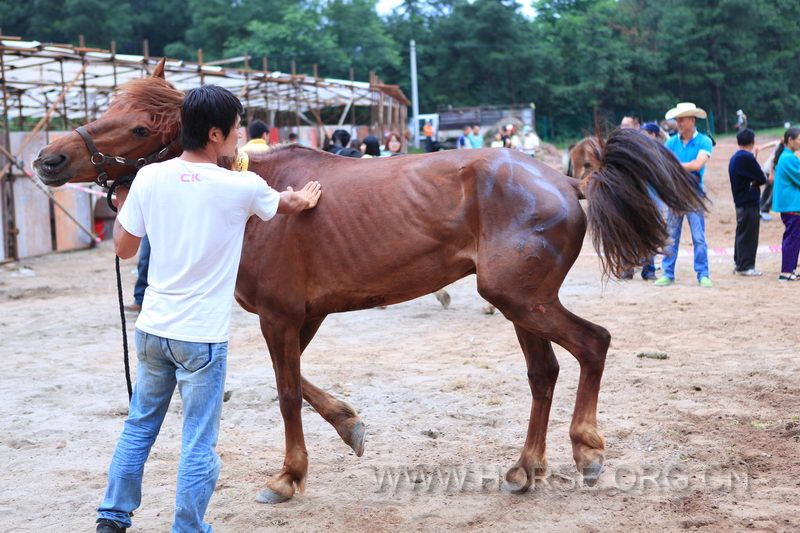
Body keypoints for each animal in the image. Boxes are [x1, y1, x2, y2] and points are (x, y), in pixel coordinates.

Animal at [32, 63, 708, 502]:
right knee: (544, 373)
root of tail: (567, 181)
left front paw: (288, 477)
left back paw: (586, 449)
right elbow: (300, 384)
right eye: (109, 110)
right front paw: (350, 423)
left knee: (592, 345)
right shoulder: (303, 315)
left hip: (521, 300)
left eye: (140, 127)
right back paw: (526, 469)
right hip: (522, 304)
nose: (49, 159)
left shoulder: (280, 315)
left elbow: (285, 391)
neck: (255, 198)